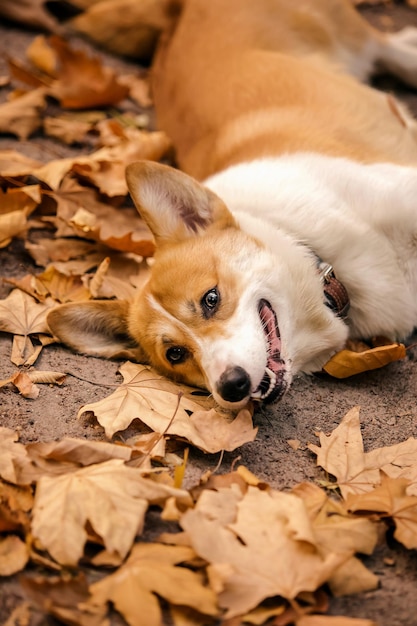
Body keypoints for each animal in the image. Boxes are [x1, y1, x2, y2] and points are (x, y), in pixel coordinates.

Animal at [47, 0, 416, 410]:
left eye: (211, 299)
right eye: (175, 354)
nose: (232, 386)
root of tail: (181, 10)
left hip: (347, 34)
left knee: (387, 45)